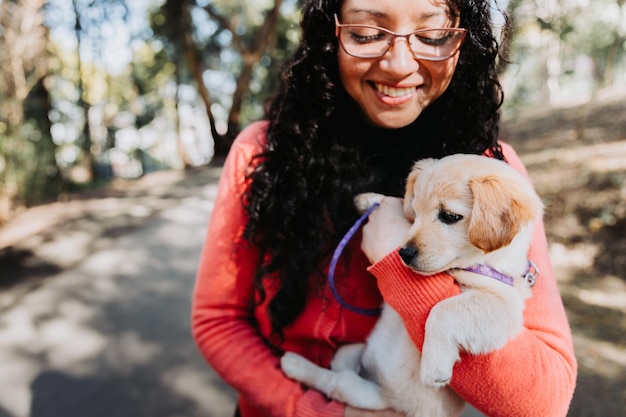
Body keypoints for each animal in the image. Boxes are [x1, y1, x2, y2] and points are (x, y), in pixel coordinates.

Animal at [282, 154, 540, 416]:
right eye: (415, 213)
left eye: (449, 216)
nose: (404, 253)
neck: (473, 265)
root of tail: (390, 397)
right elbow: (394, 201)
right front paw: (368, 198)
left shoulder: (502, 305)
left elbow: (442, 310)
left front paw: (433, 364)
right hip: (351, 353)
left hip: (366, 391)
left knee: (335, 383)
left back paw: (292, 363)